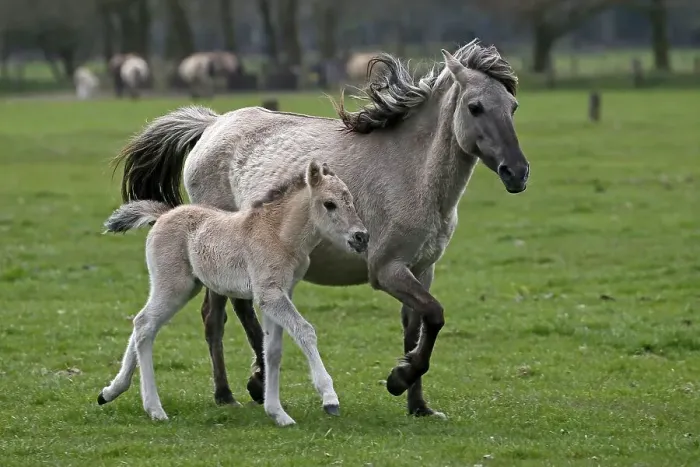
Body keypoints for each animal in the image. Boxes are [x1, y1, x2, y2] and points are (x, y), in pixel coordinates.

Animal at [98, 160, 369, 425]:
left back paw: (110, 392)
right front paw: (329, 398)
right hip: (173, 285)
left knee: (142, 324)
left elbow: (272, 350)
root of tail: (163, 215)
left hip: (187, 287)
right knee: (144, 324)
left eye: (350, 200)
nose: (362, 237)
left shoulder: (278, 295)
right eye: (329, 204)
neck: (279, 235)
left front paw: (277, 413)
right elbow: (305, 331)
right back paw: (154, 409)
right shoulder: (270, 295)